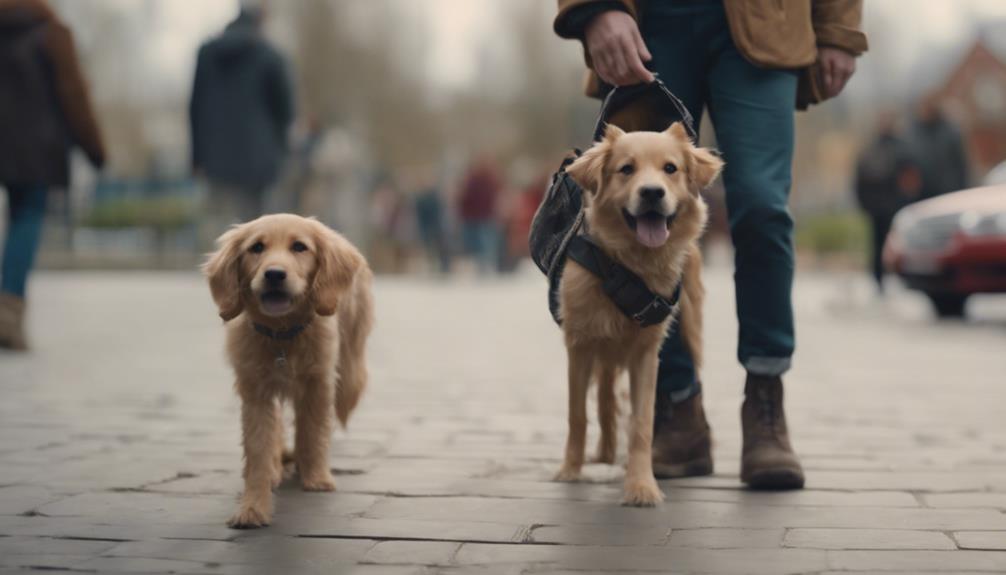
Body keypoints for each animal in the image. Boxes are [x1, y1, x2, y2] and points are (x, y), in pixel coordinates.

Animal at [203, 213, 374, 526]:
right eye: (256, 248)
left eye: (299, 247)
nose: (274, 274)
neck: (282, 336)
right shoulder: (255, 390)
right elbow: (258, 448)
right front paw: (253, 507)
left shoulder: (319, 383)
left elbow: (312, 431)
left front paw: (315, 476)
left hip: (350, 358)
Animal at [555, 123, 720, 504]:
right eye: (626, 169)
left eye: (670, 168)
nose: (652, 193)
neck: (629, 267)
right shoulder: (579, 344)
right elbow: (576, 414)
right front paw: (569, 471)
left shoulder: (645, 352)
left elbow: (641, 422)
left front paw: (642, 485)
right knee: (602, 400)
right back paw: (601, 454)